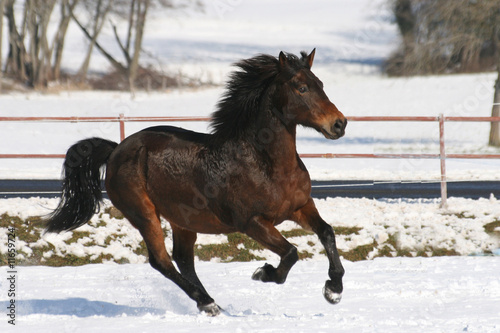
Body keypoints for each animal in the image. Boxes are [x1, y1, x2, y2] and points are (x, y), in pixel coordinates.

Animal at [44, 49, 348, 314]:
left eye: (320, 84)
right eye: (301, 88)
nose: (339, 124)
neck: (266, 164)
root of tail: (116, 149)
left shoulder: (300, 207)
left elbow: (327, 232)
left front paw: (333, 290)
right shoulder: (252, 222)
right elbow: (291, 253)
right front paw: (263, 273)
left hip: (183, 220)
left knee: (183, 260)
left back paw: (209, 303)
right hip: (144, 214)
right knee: (162, 261)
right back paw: (208, 303)